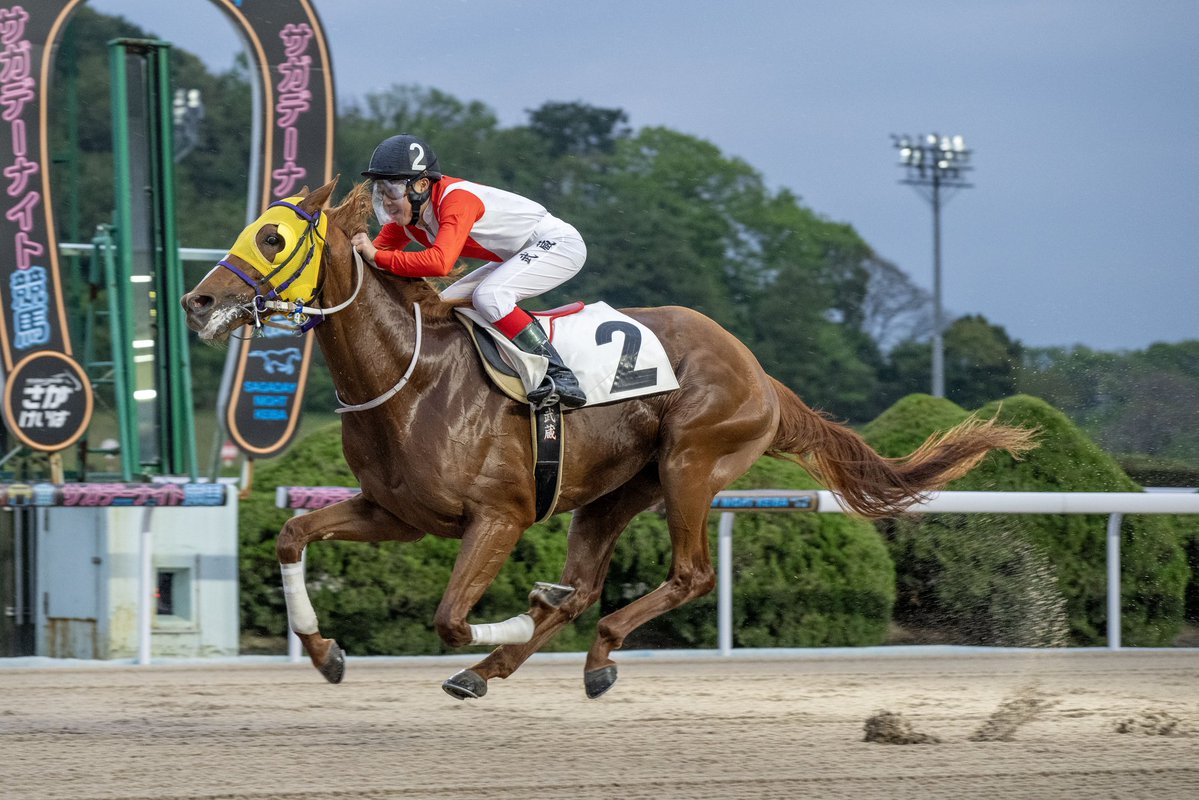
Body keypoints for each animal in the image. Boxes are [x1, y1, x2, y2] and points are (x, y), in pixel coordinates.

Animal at [181, 178, 1035, 700]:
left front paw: (516, 609)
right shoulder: (395, 513)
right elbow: (292, 536)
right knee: (590, 584)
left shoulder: (496, 517)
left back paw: (578, 650)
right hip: (615, 491)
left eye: (271, 239)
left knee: (687, 575)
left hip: (691, 465)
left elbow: (450, 615)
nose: (199, 301)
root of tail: (759, 373)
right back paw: (500, 666)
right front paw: (325, 653)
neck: (412, 377)